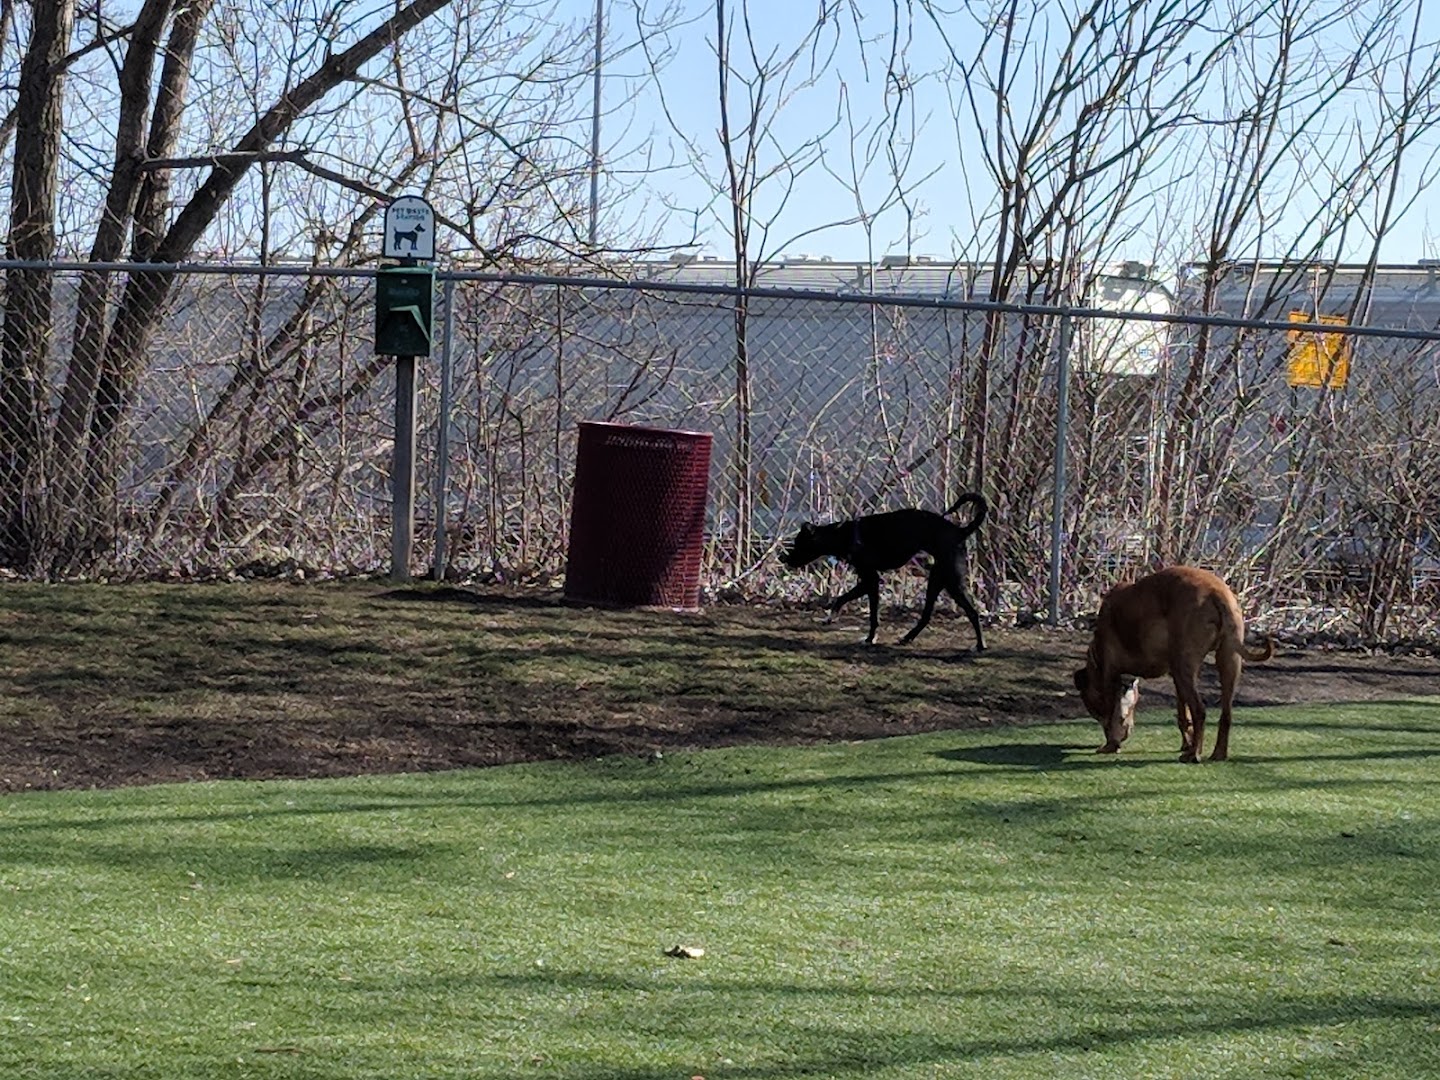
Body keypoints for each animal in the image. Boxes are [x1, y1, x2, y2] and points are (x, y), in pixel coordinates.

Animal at [783, 492, 984, 650]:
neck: (842, 534)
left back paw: (980, 645)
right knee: (927, 616)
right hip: (937, 580)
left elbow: (869, 614)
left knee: (972, 613)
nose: (783, 559)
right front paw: (832, 618)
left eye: (799, 544)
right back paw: (907, 638)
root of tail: (959, 532)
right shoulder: (867, 581)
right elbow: (843, 599)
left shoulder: (871, 580)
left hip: (951, 583)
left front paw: (869, 638)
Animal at [1077, 567, 1278, 760]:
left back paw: (1195, 755)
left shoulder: (1109, 674)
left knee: (1199, 710)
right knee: (1225, 713)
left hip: (1185, 664)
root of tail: (1217, 591)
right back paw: (1216, 754)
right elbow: (1182, 712)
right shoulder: (1175, 676)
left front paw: (1111, 744)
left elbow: (1112, 712)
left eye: (1093, 709)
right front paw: (1186, 744)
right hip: (1227, 660)